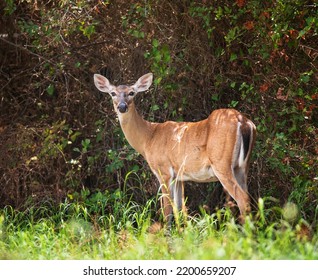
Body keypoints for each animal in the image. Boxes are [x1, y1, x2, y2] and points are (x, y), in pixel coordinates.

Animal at [94, 72, 256, 225]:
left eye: (132, 92)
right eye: (112, 93)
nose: (122, 106)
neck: (148, 138)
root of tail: (243, 122)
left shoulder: (164, 170)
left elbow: (167, 210)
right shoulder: (178, 176)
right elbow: (179, 209)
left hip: (221, 163)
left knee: (242, 198)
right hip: (242, 166)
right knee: (249, 197)